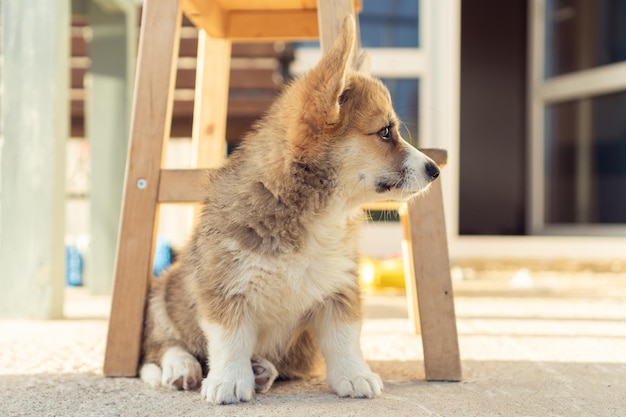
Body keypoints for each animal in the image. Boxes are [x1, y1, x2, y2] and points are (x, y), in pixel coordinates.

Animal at [140, 15, 438, 404]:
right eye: (385, 132)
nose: (436, 170)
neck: (316, 211)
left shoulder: (339, 287)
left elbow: (344, 339)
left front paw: (354, 377)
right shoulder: (225, 286)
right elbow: (230, 339)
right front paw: (229, 382)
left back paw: (261, 370)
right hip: (164, 293)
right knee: (160, 347)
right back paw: (182, 368)